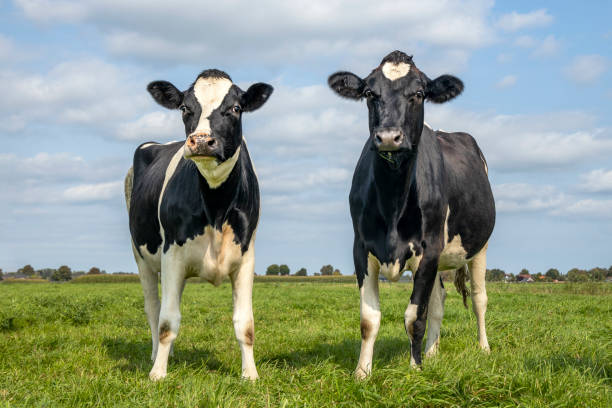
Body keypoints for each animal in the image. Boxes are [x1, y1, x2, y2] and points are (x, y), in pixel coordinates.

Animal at [124, 69, 272, 380]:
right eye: (184, 108)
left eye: (236, 108)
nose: (202, 140)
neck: (216, 205)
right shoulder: (172, 254)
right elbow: (167, 321)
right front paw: (158, 374)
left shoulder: (246, 257)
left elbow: (246, 324)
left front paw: (250, 375)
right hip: (142, 256)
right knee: (154, 308)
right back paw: (156, 356)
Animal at [328, 51, 494, 380]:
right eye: (370, 93)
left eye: (418, 93)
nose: (388, 137)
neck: (393, 200)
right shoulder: (361, 248)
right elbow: (369, 319)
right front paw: (362, 372)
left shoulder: (428, 250)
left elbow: (415, 316)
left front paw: (415, 369)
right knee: (440, 301)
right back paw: (432, 352)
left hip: (478, 247)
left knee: (479, 298)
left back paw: (483, 348)